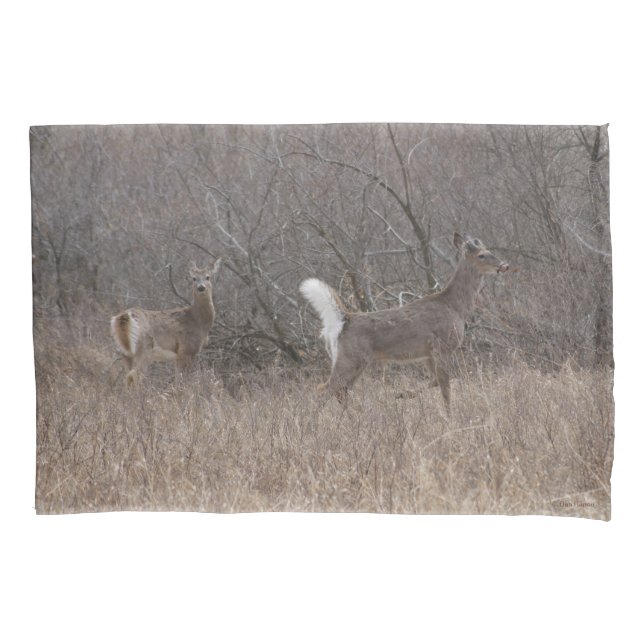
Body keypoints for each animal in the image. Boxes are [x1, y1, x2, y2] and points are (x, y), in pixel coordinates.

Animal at [299, 233, 509, 409]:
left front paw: (402, 394)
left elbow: (434, 381)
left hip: (355, 361)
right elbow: (445, 388)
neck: (455, 306)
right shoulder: (441, 346)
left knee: (340, 391)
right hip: (350, 358)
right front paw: (450, 416)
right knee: (324, 389)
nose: (503, 265)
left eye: (489, 250)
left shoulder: (428, 353)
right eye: (482, 255)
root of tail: (343, 320)